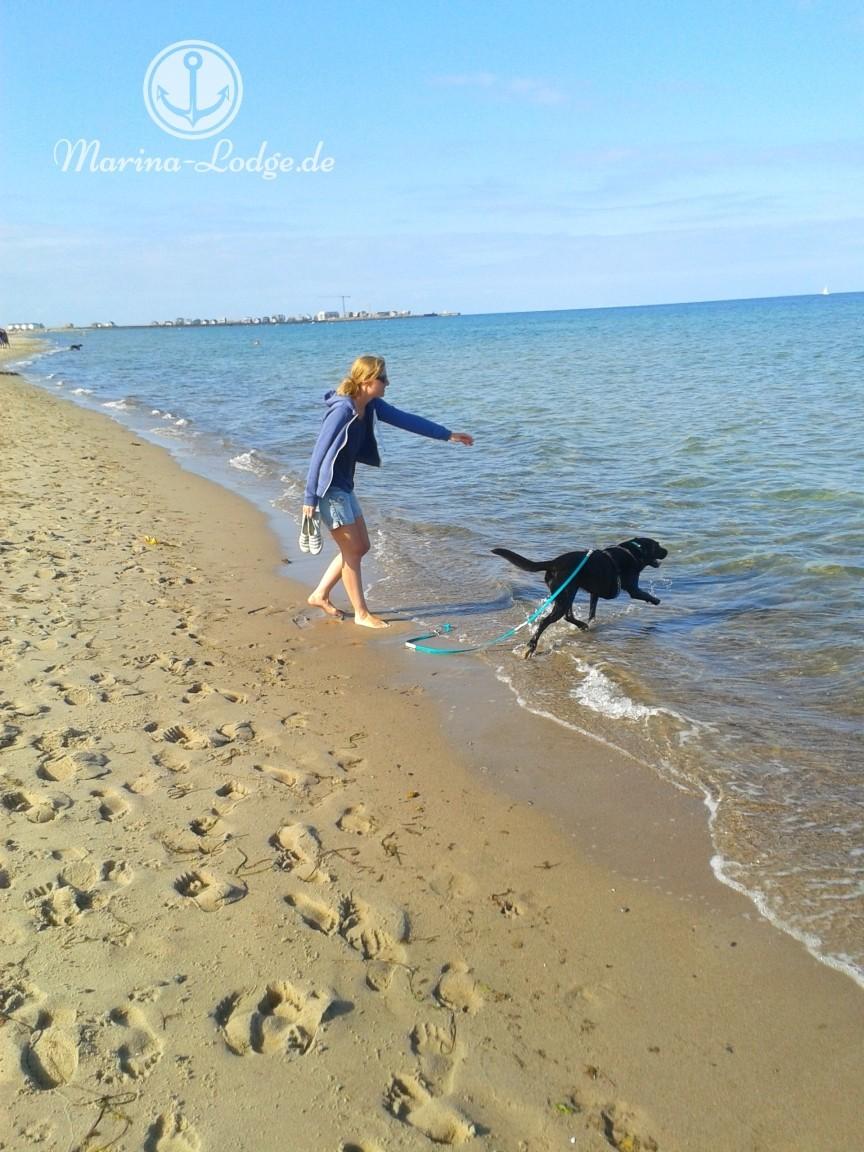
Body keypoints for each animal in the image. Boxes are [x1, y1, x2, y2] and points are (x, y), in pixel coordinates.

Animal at [493, 532, 668, 654]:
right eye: (657, 546)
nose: (667, 551)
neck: (634, 551)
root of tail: (554, 563)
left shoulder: (594, 593)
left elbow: (592, 612)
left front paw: (591, 622)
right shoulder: (633, 588)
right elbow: (644, 594)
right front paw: (656, 600)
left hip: (567, 593)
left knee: (568, 616)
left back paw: (583, 626)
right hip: (565, 595)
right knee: (545, 621)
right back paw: (531, 646)